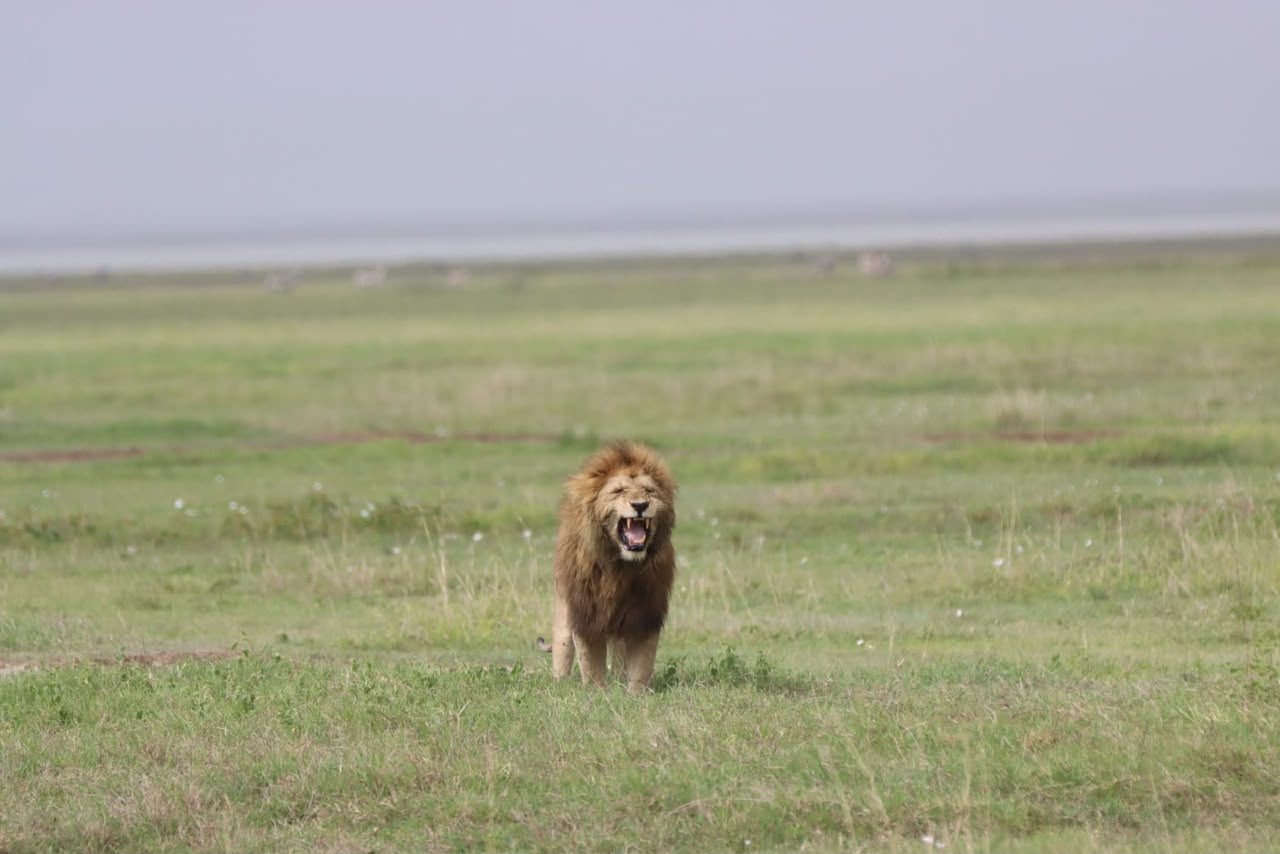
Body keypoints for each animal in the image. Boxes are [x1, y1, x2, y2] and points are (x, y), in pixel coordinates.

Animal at [547, 441, 677, 693]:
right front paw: (597, 693)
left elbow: (642, 664)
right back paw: (559, 683)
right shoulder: (586, 612)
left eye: (649, 491)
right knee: (562, 645)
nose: (640, 505)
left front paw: (636, 695)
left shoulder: (644, 614)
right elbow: (590, 661)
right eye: (619, 491)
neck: (621, 567)